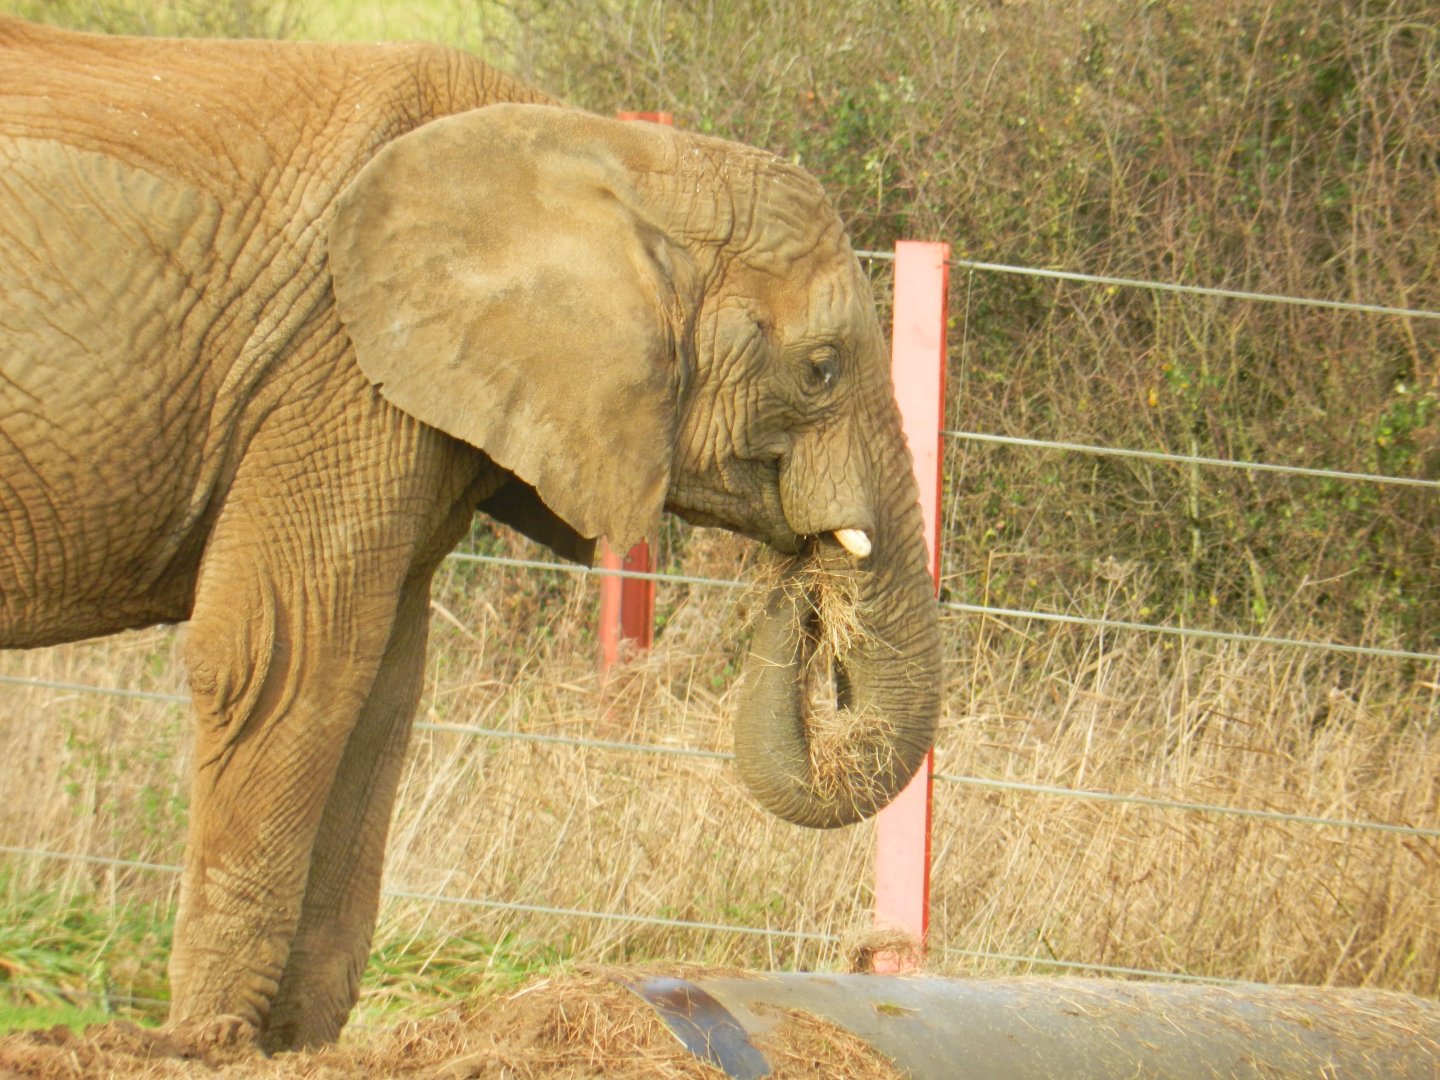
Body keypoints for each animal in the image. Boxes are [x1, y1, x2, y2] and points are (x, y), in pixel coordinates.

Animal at [0, 16, 941, 1052]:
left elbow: (381, 692)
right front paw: (210, 1046)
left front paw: (303, 1048)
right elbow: (288, 661)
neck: (614, 156)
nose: (806, 572)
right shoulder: (335, 362)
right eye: (821, 369)